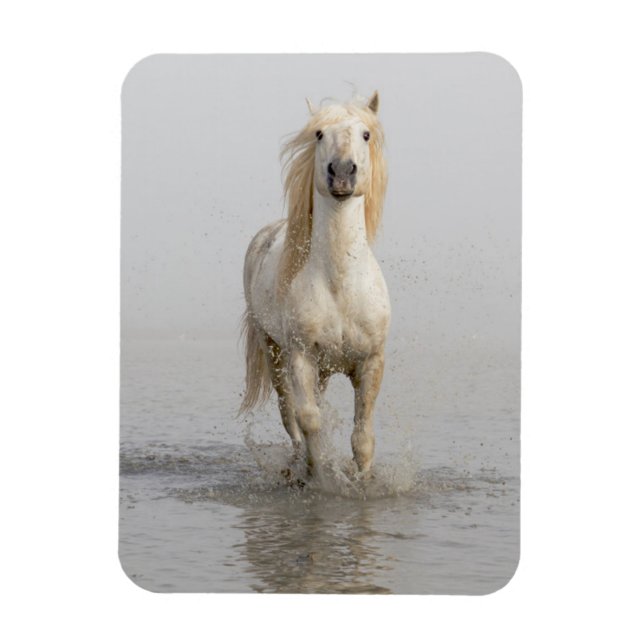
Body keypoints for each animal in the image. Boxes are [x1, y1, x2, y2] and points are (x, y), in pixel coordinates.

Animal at [239, 91, 390, 479]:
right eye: (320, 134)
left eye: (365, 134)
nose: (342, 172)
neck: (340, 284)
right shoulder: (301, 357)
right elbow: (308, 420)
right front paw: (319, 474)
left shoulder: (370, 361)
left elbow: (362, 434)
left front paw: (362, 481)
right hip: (274, 352)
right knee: (289, 414)